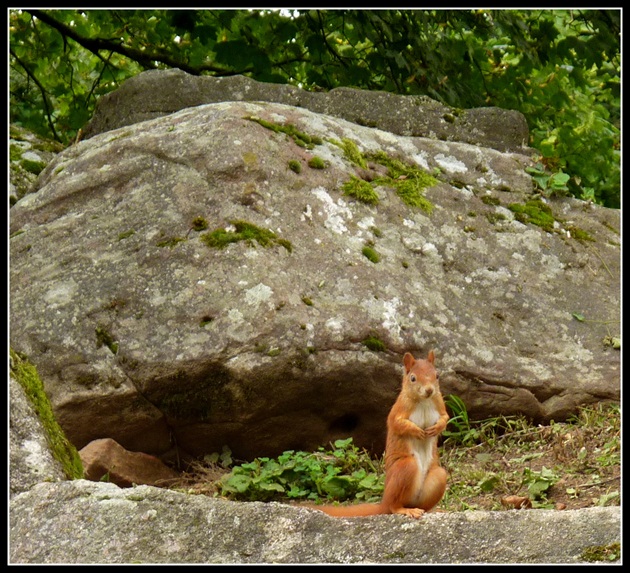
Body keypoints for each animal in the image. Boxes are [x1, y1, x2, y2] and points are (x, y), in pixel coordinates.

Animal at [312, 348, 450, 520]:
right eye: (413, 378)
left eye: (437, 375)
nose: (430, 390)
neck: (424, 401)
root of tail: (383, 502)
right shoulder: (398, 409)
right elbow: (397, 424)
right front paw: (416, 431)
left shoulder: (439, 404)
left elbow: (445, 418)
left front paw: (437, 428)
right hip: (405, 469)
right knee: (393, 506)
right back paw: (404, 510)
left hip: (438, 477)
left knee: (424, 503)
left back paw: (432, 510)